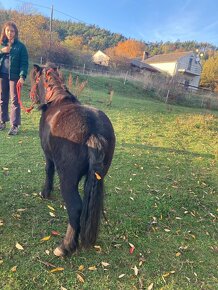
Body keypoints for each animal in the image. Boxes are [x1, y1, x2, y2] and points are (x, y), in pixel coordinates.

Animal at [30, 64, 116, 258]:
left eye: (35, 79)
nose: (31, 96)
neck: (56, 101)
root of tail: (94, 131)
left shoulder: (48, 156)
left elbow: (48, 170)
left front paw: (45, 192)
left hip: (68, 180)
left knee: (76, 208)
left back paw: (65, 246)